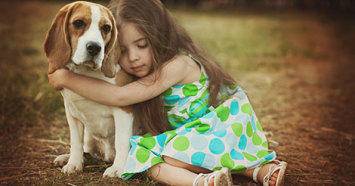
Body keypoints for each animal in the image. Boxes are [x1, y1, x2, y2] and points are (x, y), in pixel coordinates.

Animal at [42, 0, 136, 177]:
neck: (87, 74)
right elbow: (76, 142)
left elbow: (121, 141)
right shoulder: (72, 113)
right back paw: (68, 157)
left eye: (106, 28)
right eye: (78, 23)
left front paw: (118, 168)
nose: (94, 48)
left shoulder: (123, 110)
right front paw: (74, 163)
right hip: (90, 137)